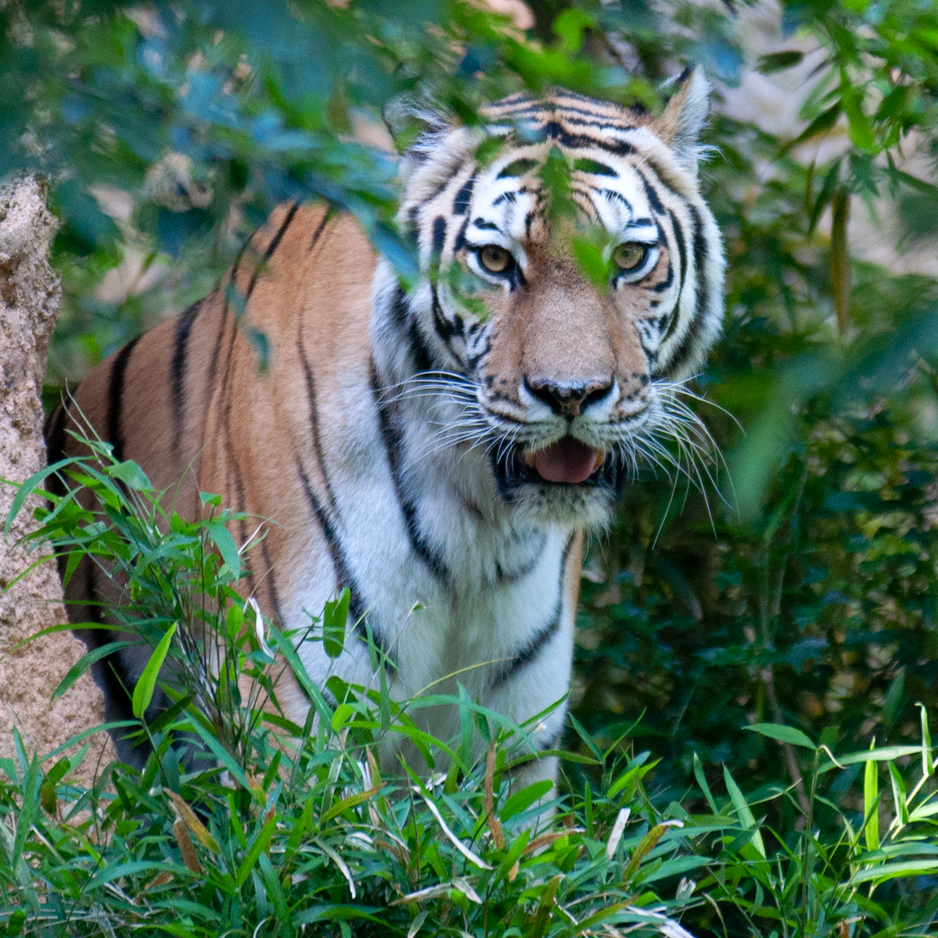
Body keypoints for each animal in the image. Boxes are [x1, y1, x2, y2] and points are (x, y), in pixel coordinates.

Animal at [45, 67, 724, 784]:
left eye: (628, 257)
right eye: (494, 261)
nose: (571, 394)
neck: (481, 524)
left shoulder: (516, 742)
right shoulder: (293, 707)